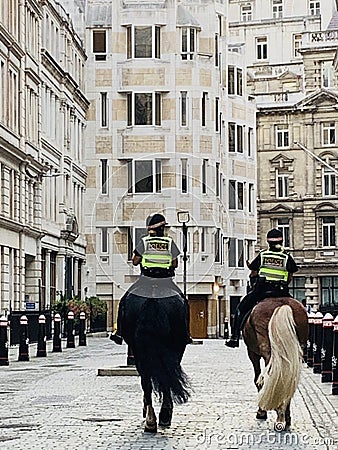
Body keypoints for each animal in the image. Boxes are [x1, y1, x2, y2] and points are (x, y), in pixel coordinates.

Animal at [243, 298, 308, 430]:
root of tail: (283, 304)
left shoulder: (252, 353)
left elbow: (258, 380)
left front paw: (261, 411)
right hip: (297, 351)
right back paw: (284, 417)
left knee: (270, 377)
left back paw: (279, 415)